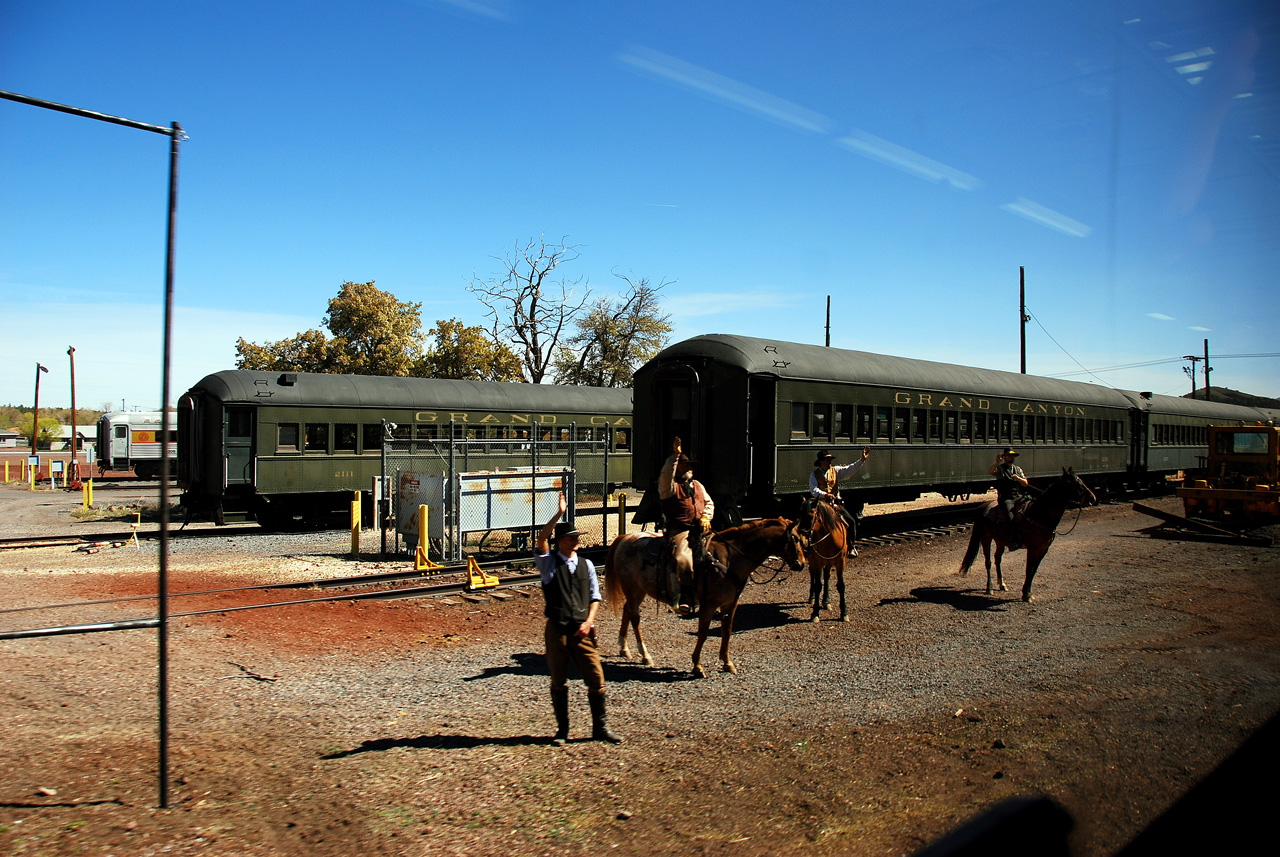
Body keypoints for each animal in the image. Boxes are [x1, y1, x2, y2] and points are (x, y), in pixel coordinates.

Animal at [604, 519, 803, 680]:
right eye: (796, 539)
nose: (801, 564)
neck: (728, 559)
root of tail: (625, 537)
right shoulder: (709, 605)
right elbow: (703, 633)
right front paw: (697, 666)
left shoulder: (730, 604)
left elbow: (727, 631)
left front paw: (727, 663)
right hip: (633, 589)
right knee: (635, 617)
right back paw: (645, 655)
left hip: (637, 591)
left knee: (627, 611)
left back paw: (624, 649)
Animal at [962, 470, 1100, 603]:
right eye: (1075, 483)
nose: (1092, 497)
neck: (1040, 515)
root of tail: (982, 506)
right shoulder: (1032, 549)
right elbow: (1029, 570)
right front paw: (1026, 595)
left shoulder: (1043, 549)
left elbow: (1034, 570)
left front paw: (1028, 593)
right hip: (986, 537)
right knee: (988, 562)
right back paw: (989, 588)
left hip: (1000, 540)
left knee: (997, 559)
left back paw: (1002, 584)